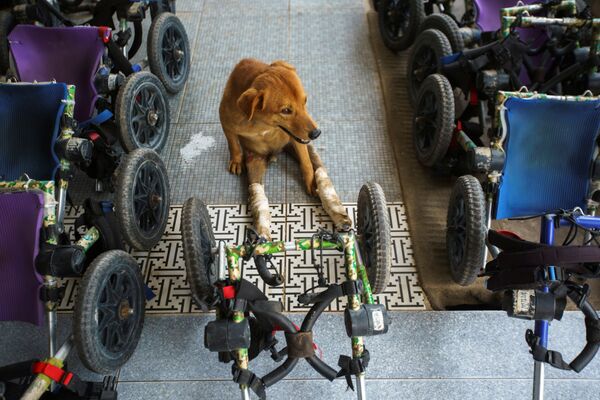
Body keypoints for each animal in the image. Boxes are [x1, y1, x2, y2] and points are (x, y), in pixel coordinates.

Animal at [219, 58, 322, 196]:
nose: (316, 133)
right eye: (285, 110)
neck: (262, 123)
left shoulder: (298, 140)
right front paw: (236, 160)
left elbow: (306, 162)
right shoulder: (225, 121)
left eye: (305, 101)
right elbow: (233, 144)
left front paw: (311, 181)